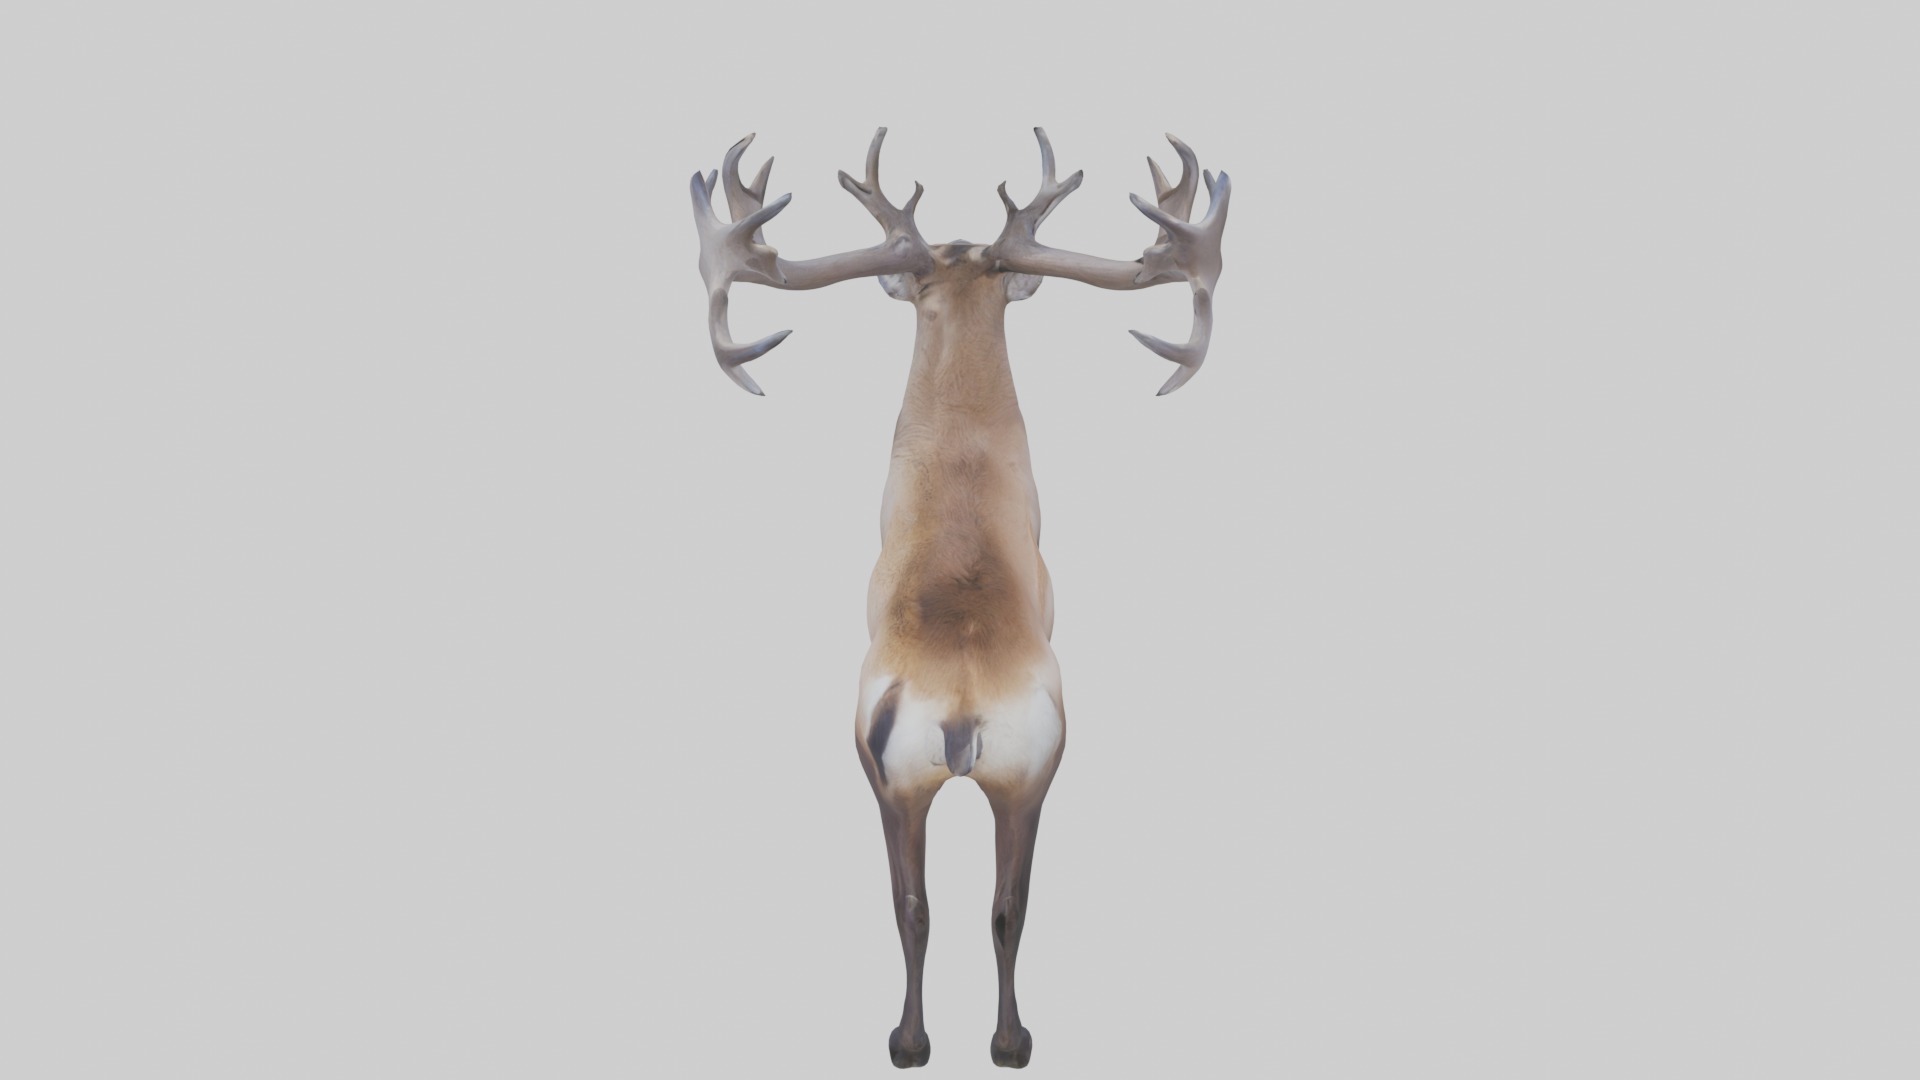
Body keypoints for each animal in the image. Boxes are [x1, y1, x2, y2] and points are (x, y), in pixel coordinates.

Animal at [688, 127, 1229, 1069]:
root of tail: (964, 705)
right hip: (1016, 782)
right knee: (992, 908)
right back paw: (1000, 1043)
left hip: (911, 786)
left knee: (925, 908)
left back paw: (918, 1043)